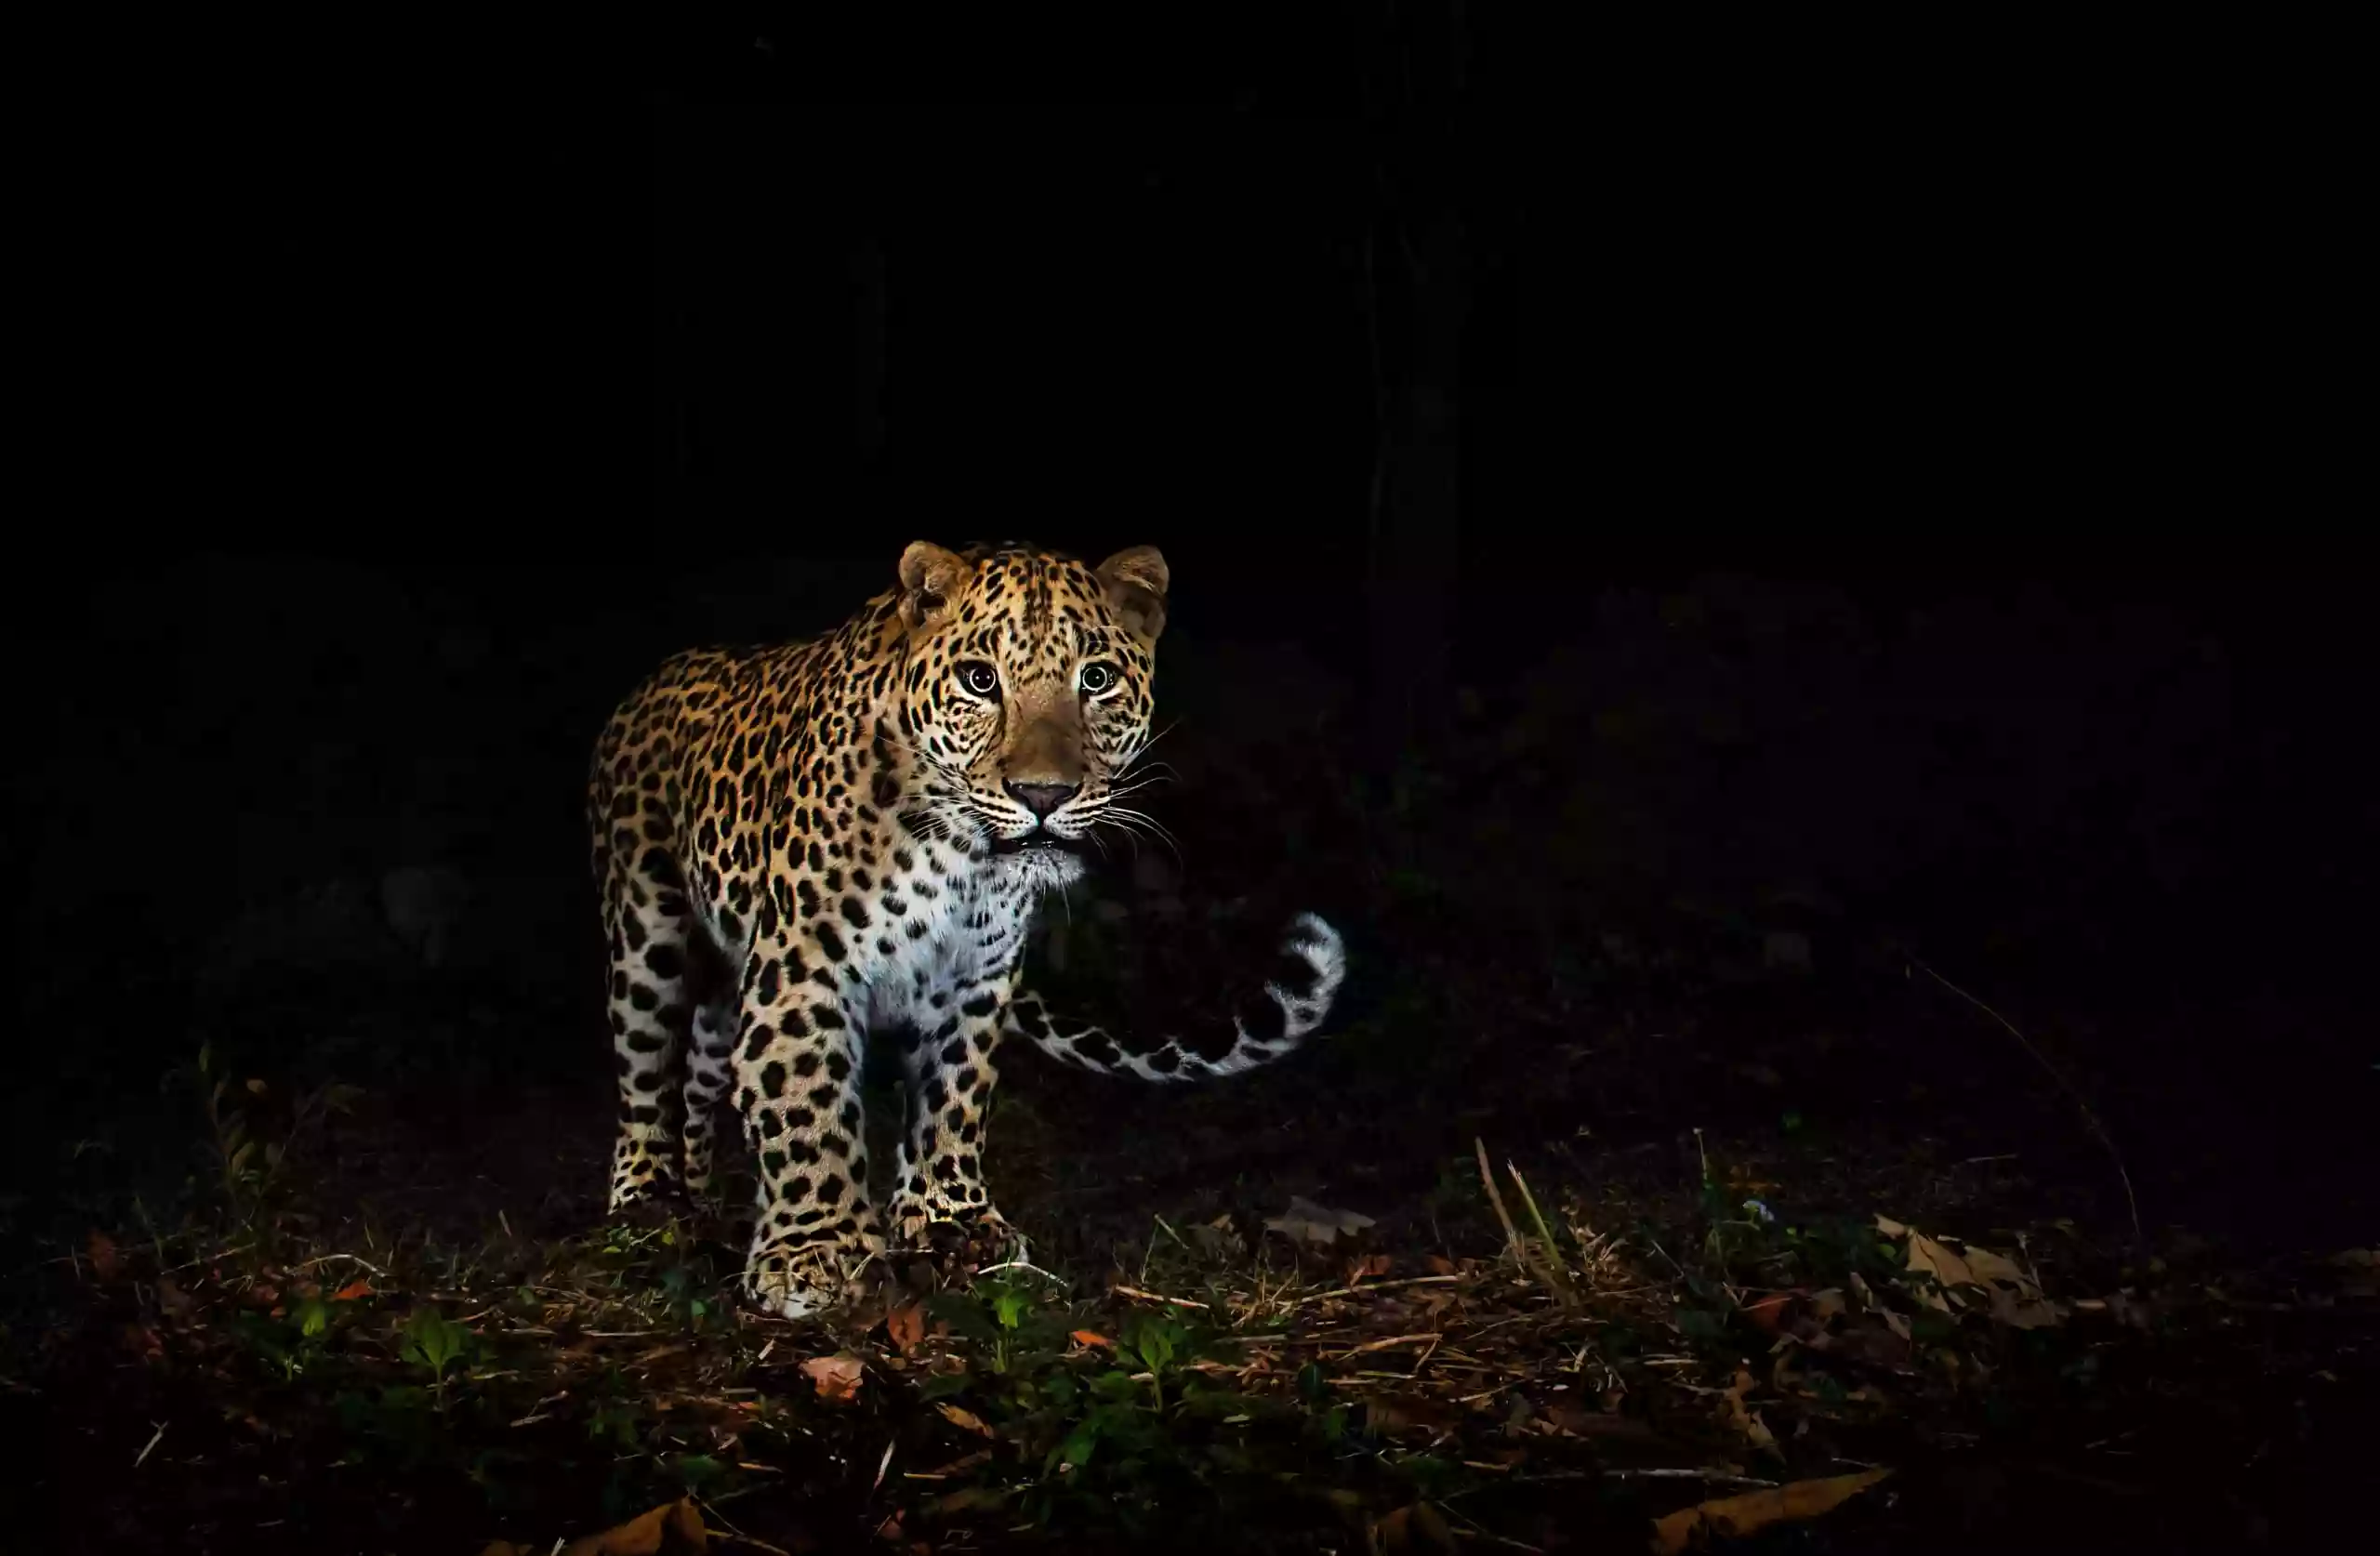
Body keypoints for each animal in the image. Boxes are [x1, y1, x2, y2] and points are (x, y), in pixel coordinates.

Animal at [587, 540, 1346, 1318]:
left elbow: (953, 1094)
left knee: (704, 1064)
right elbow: (804, 1100)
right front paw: (813, 1250)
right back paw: (649, 1202)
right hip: (646, 931)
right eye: (980, 680)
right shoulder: (804, 967)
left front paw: (950, 1221)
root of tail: (657, 679)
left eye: (1096, 679)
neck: (957, 857)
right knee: (646, 1064)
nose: (1043, 795)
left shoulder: (973, 978)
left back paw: (700, 1192)